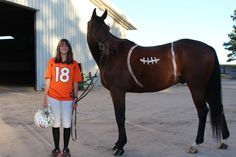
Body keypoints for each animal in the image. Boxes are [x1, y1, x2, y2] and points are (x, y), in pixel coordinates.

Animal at [86, 8, 229, 156]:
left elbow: (120, 117)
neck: (110, 57)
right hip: (206, 87)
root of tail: (208, 47)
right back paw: (223, 141)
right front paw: (117, 144)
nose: (111, 49)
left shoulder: (117, 91)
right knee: (218, 107)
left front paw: (120, 146)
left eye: (107, 28)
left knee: (203, 111)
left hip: (196, 87)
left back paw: (195, 144)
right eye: (96, 28)